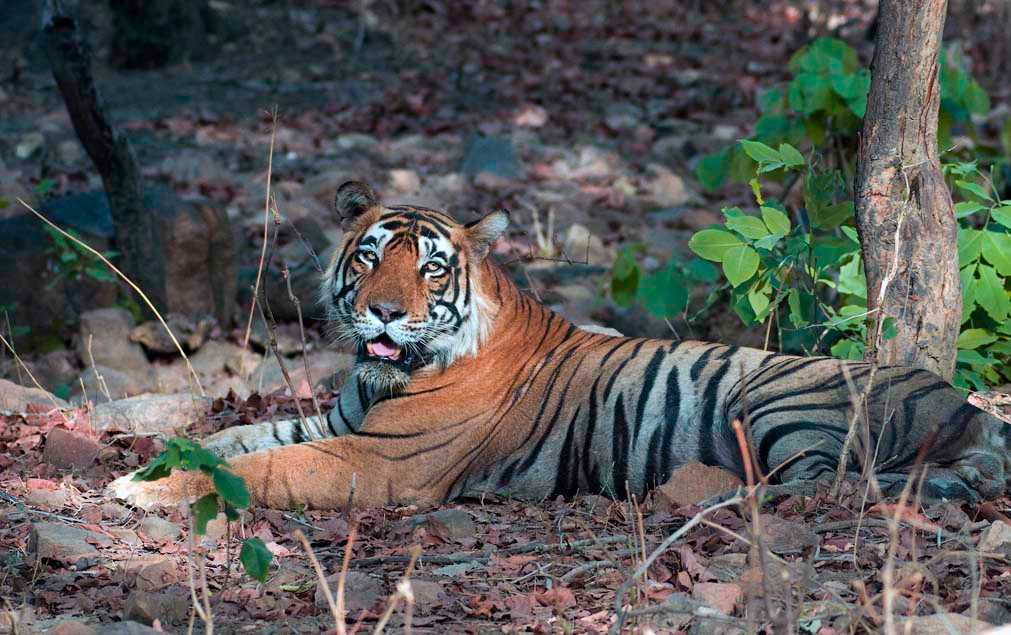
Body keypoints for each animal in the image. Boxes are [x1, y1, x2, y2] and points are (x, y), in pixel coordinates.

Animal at [110, 179, 1011, 511]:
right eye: (368, 256)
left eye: (429, 266)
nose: (383, 314)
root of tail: (960, 399)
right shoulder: (339, 423)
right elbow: (237, 434)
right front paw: (148, 461)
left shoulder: (376, 460)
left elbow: (260, 465)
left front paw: (146, 490)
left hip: (779, 392)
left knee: (820, 483)